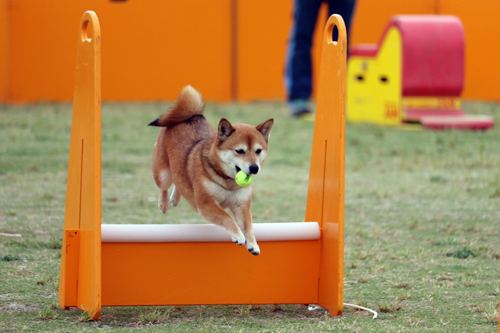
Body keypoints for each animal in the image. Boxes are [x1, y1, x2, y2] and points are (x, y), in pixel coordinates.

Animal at [148, 85, 274, 254]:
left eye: (258, 151)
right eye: (239, 151)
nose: (254, 168)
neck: (228, 181)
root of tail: (190, 117)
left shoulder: (241, 206)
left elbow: (248, 226)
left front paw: (253, 244)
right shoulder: (206, 203)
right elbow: (227, 217)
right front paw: (238, 235)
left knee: (179, 180)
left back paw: (175, 198)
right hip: (163, 173)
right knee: (164, 186)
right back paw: (164, 203)